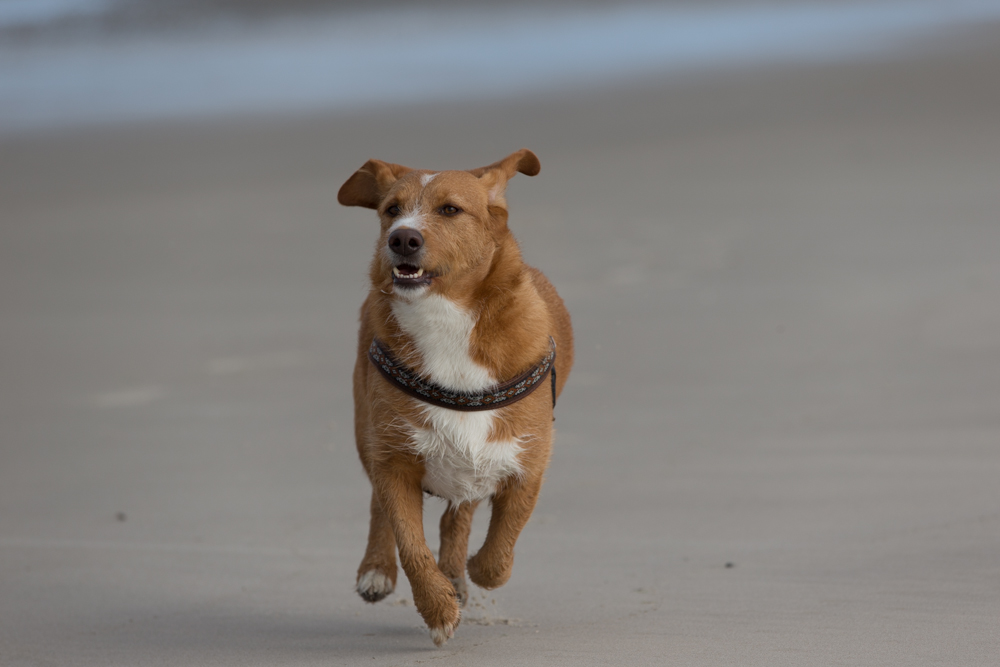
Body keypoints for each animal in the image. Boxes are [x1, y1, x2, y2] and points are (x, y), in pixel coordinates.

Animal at [336, 149, 572, 644]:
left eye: (450, 209)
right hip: (366, 430)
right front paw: (438, 607)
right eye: (391, 210)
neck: (445, 317)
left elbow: (501, 549)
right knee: (379, 509)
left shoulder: (526, 461)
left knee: (458, 515)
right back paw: (377, 570)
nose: (402, 238)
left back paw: (458, 573)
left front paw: (470, 573)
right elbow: (410, 543)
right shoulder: (393, 459)